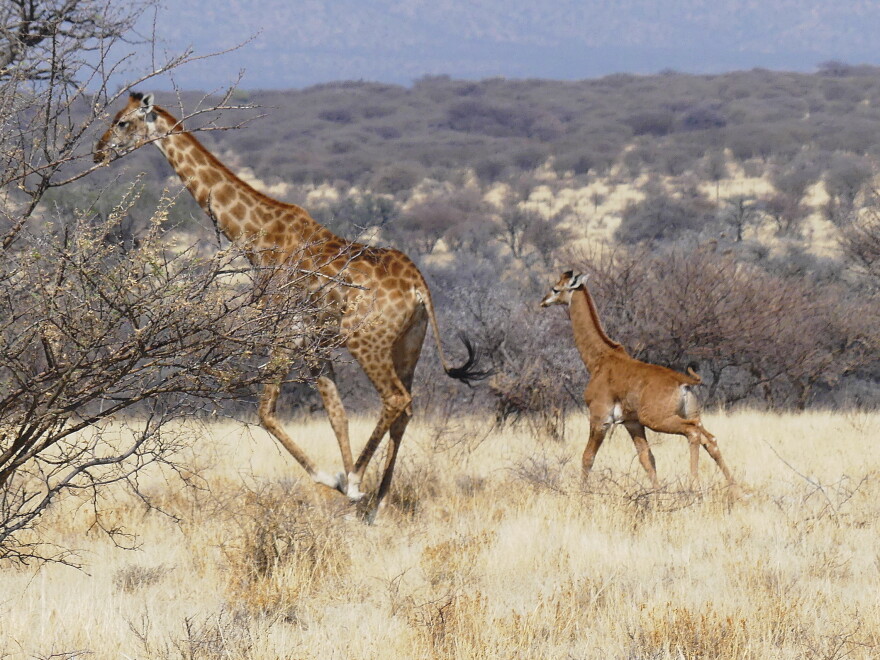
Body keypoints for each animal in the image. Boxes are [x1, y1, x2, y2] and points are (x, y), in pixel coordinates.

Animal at [94, 92, 487, 517]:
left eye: (122, 122)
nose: (98, 151)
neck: (256, 236)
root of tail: (418, 286)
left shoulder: (284, 329)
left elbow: (265, 412)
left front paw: (340, 480)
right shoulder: (313, 342)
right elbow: (337, 413)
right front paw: (348, 487)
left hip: (365, 338)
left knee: (396, 399)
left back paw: (358, 484)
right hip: (408, 343)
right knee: (406, 408)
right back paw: (378, 502)